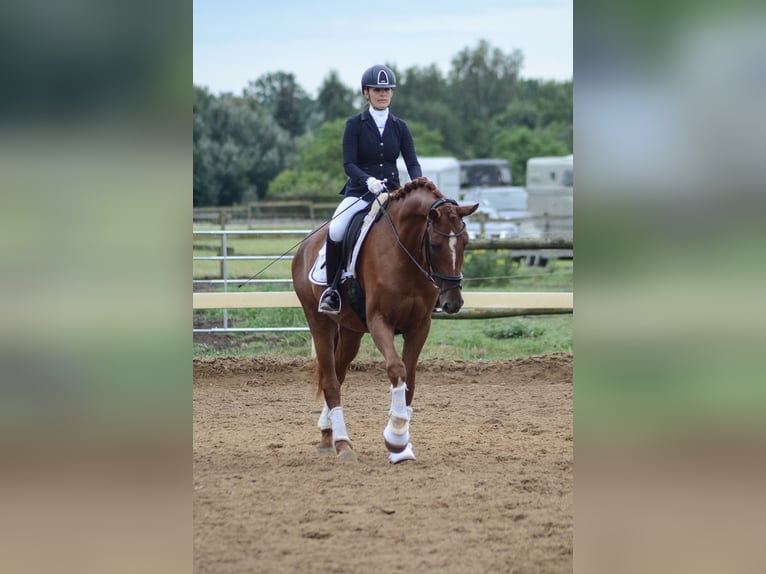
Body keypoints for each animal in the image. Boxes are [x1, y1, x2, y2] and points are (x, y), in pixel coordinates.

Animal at [292, 178, 476, 466]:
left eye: (465, 243)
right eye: (435, 244)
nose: (453, 303)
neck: (405, 254)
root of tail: (306, 244)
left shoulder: (420, 326)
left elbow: (410, 378)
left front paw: (403, 446)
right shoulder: (380, 322)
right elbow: (396, 369)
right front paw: (396, 436)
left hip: (351, 331)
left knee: (338, 373)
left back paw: (327, 434)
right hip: (319, 323)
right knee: (331, 382)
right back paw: (343, 445)